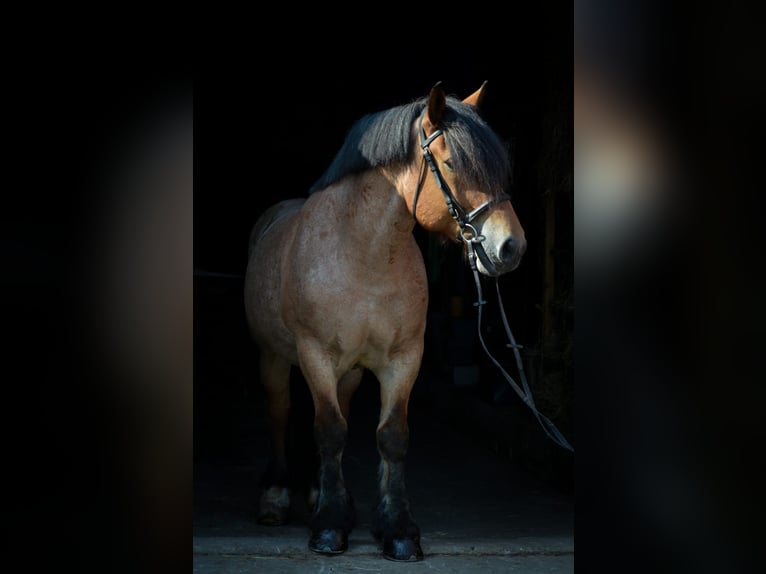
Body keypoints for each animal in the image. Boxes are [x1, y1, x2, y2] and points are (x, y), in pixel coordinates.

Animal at [243, 82, 526, 561]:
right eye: (452, 163)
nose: (511, 248)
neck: (362, 255)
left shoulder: (403, 359)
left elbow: (391, 436)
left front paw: (396, 531)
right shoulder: (316, 355)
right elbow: (329, 430)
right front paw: (329, 529)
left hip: (350, 373)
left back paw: (319, 492)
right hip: (273, 358)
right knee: (280, 412)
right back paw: (276, 496)